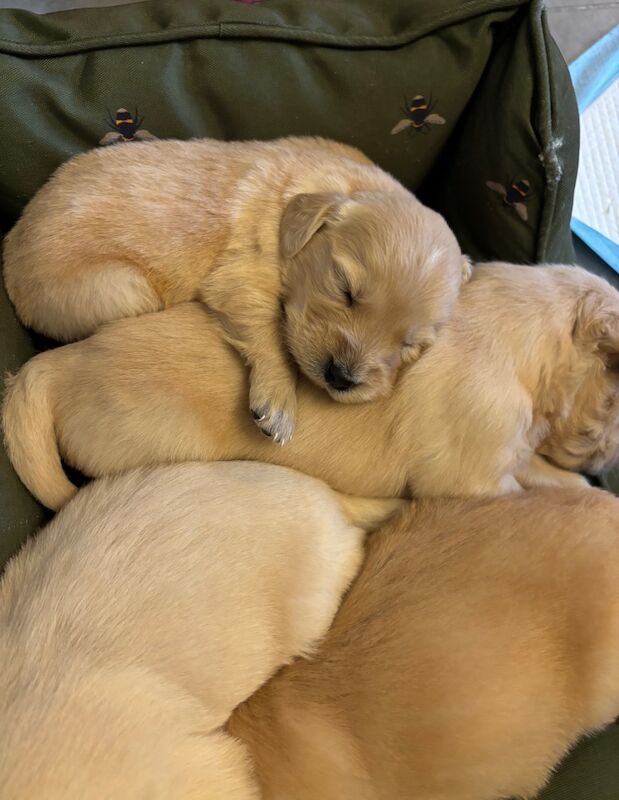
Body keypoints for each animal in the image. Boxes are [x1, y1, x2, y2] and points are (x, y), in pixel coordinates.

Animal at [1, 134, 470, 440]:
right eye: (345, 290)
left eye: (410, 345)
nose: (340, 378)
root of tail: (10, 243)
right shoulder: (242, 275)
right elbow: (268, 332)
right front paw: (278, 402)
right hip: (122, 289)